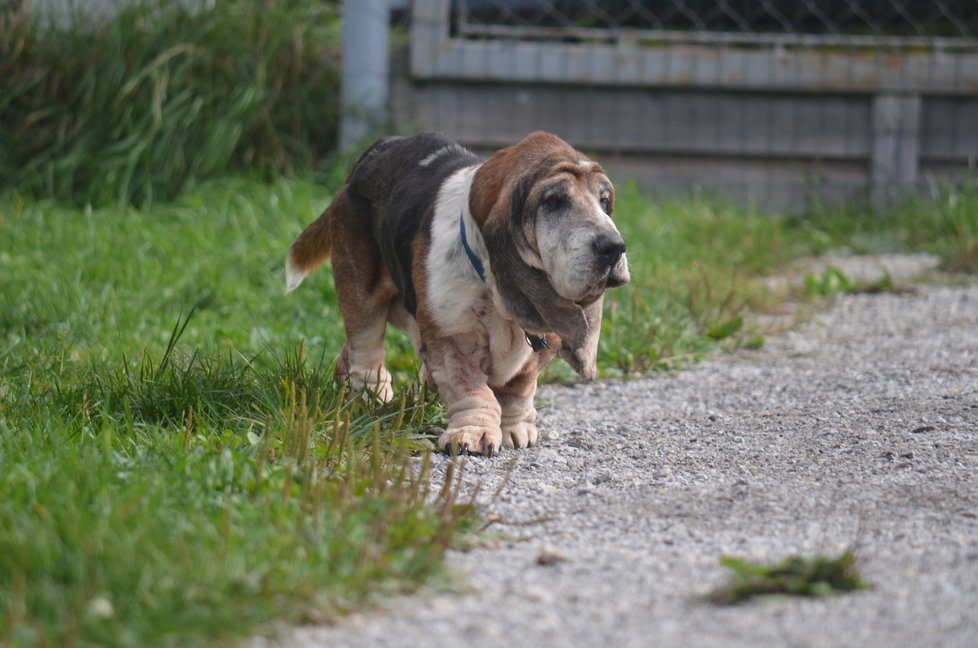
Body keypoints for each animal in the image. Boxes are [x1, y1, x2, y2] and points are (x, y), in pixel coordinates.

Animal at [286, 132, 628, 456]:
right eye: (554, 200)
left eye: (604, 201)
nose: (614, 247)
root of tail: (376, 150)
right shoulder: (451, 337)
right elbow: (471, 388)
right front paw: (473, 434)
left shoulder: (543, 338)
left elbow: (518, 389)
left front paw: (515, 428)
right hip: (362, 290)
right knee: (365, 346)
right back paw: (372, 396)